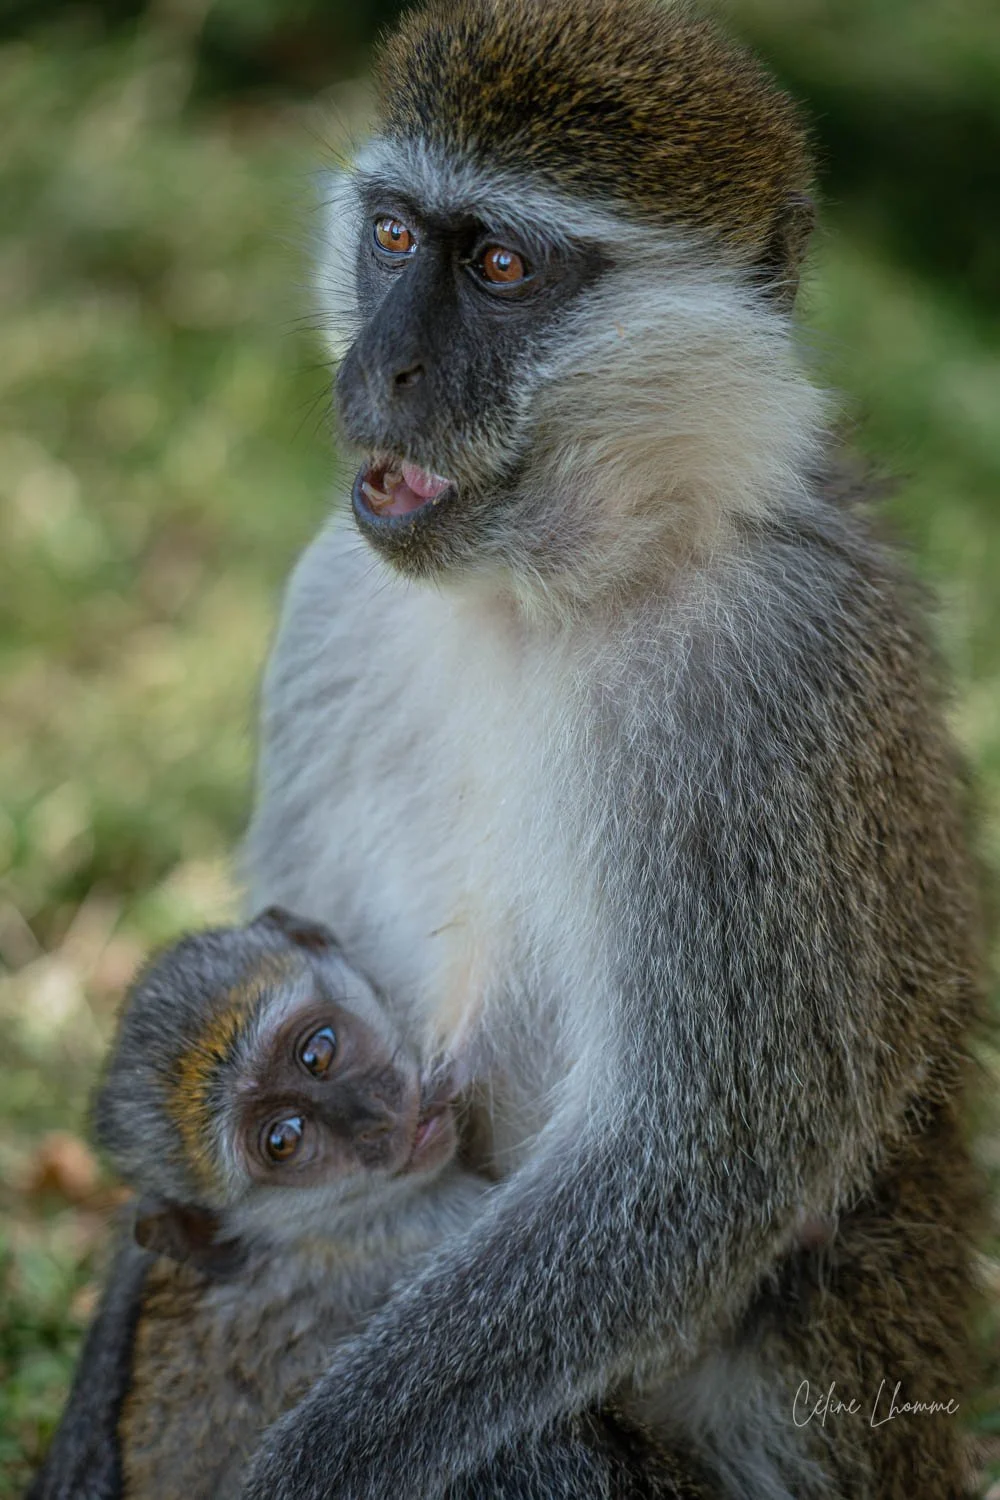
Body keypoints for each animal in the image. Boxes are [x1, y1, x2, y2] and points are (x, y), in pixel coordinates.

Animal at [234, 0, 987, 1497]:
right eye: (394, 234)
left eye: (501, 266)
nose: (378, 371)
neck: (556, 589)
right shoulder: (334, 590)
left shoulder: (771, 676)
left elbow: (693, 1164)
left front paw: (310, 1464)